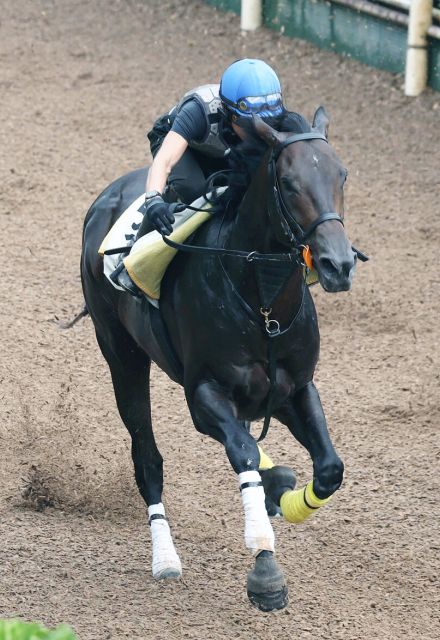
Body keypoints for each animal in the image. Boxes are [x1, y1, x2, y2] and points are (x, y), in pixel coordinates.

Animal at [81, 107, 360, 612]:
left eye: (341, 174)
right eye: (288, 182)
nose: (337, 264)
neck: (263, 302)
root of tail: (106, 197)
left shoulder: (294, 388)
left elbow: (329, 467)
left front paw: (286, 499)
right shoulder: (205, 394)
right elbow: (242, 454)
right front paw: (264, 562)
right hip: (121, 356)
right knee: (147, 458)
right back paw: (165, 557)